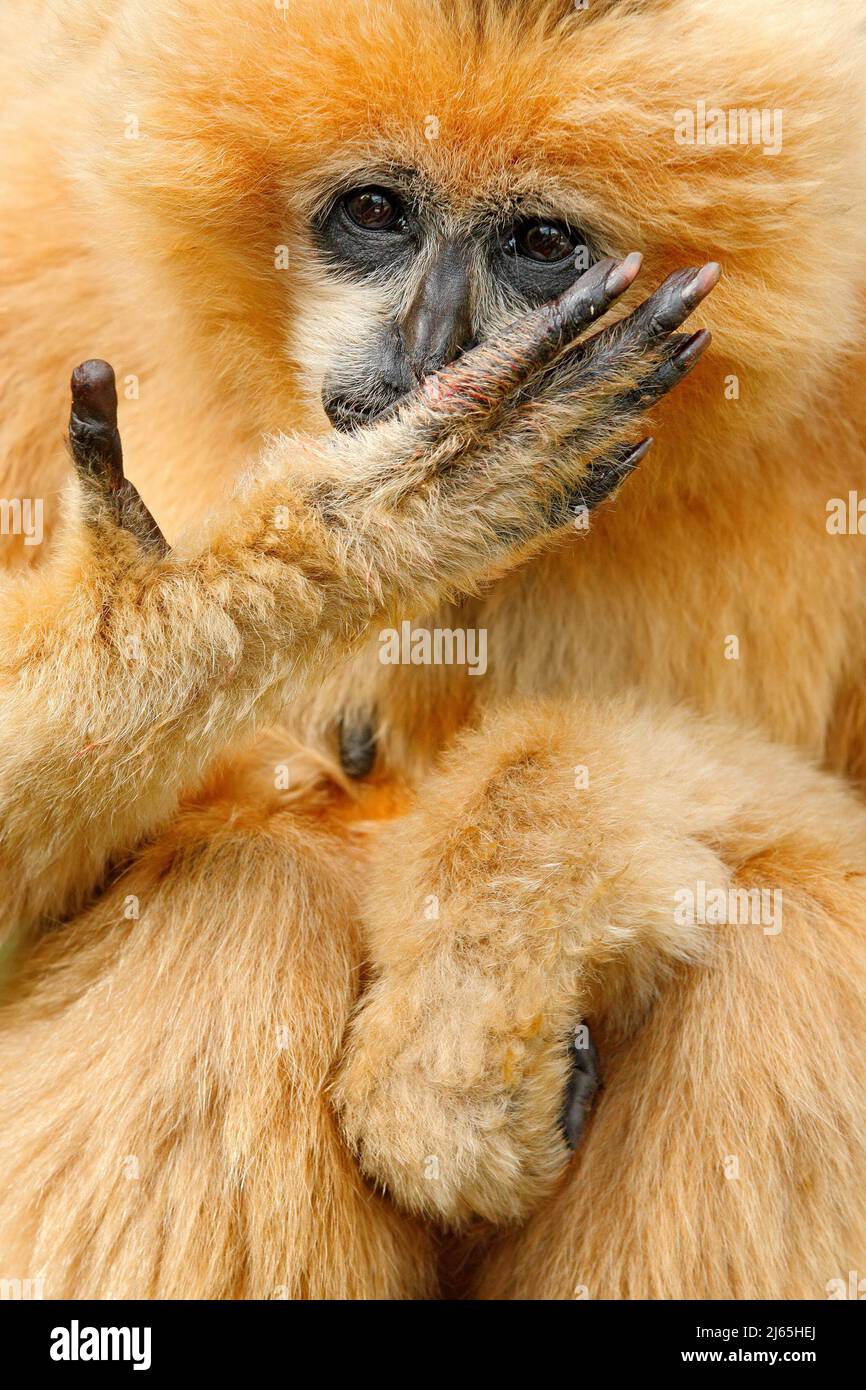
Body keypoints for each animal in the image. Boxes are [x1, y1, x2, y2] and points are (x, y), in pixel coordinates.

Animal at [1, 0, 866, 1301]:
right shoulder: (36, 244)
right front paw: (388, 512)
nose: (432, 341)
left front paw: (463, 1020)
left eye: (539, 239)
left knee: (787, 935)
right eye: (373, 212)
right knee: (252, 881)